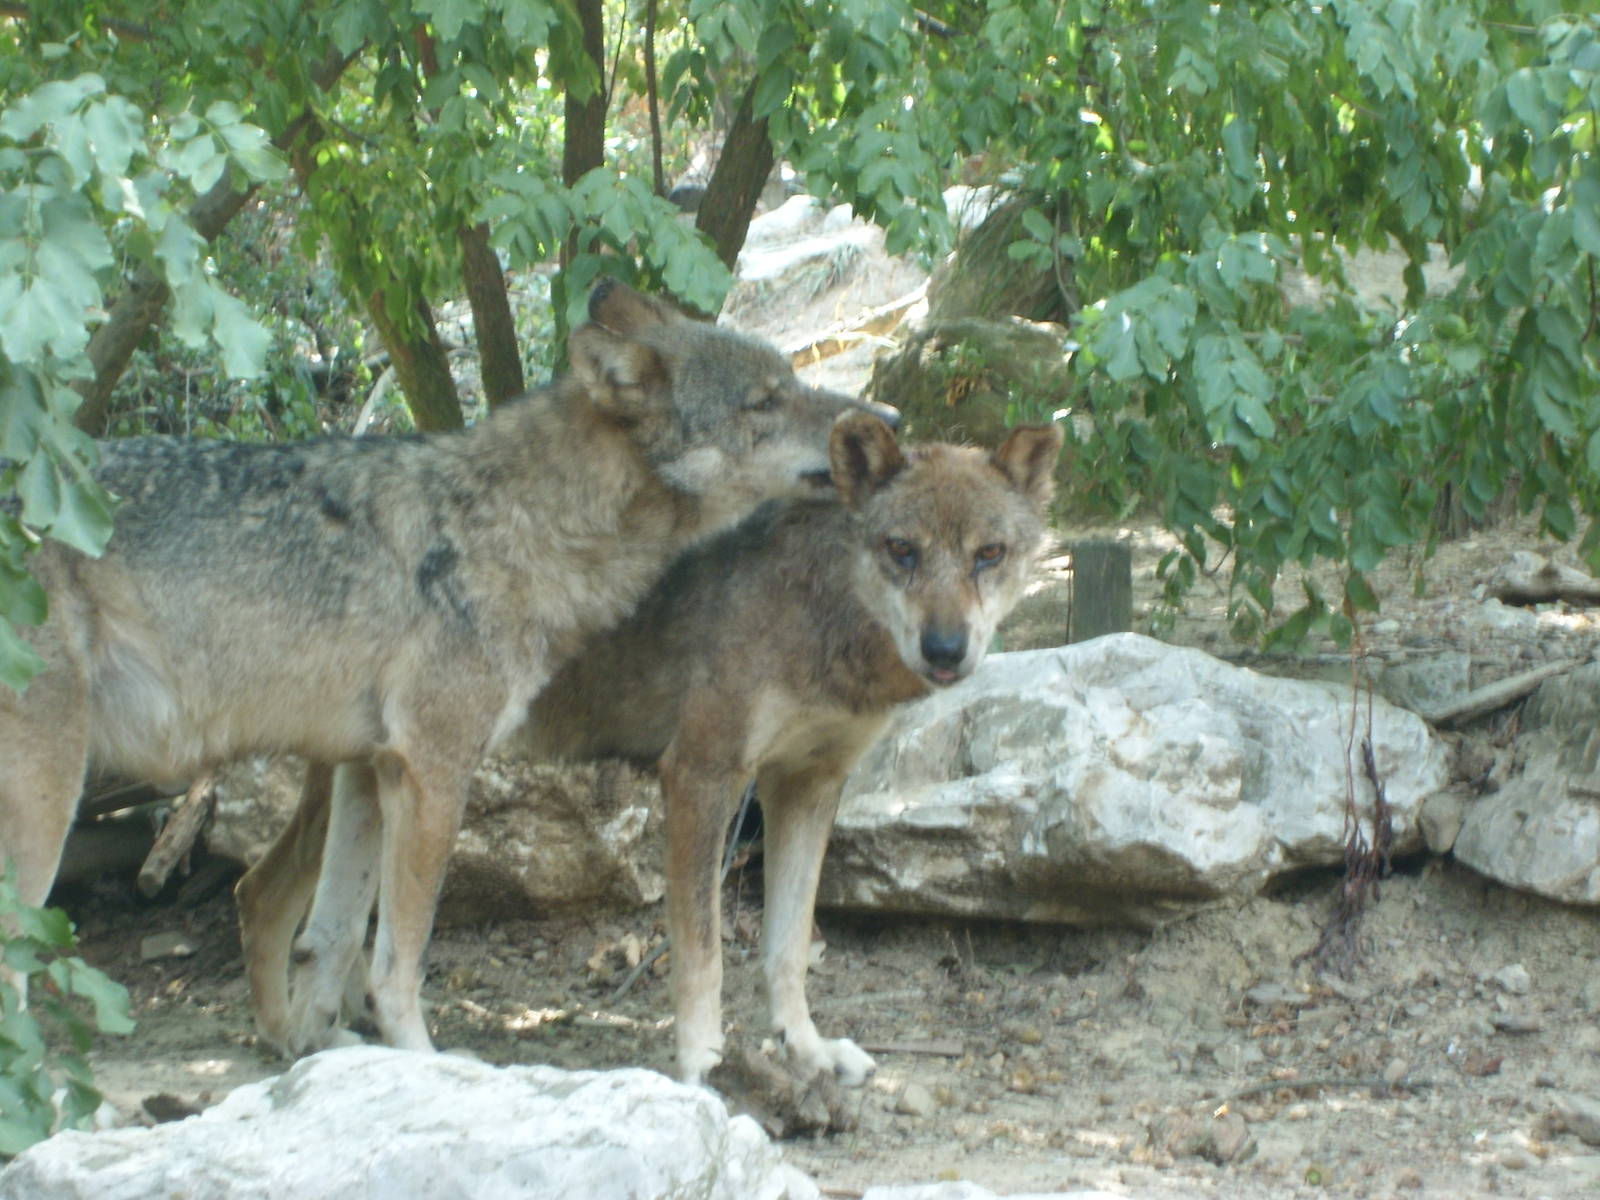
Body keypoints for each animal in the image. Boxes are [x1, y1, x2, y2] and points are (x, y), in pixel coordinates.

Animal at [0, 280, 885, 1055]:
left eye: (790, 384)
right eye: (765, 402)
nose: (884, 419)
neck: (514, 523)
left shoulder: (375, 766)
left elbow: (334, 943)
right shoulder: (434, 767)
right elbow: (397, 964)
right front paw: (427, 1068)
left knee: (263, 902)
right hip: (47, 810)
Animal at [237, 414, 1062, 1083]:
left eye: (989, 554)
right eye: (902, 551)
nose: (946, 649)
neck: (818, 614)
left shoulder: (807, 787)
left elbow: (787, 950)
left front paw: (806, 1051)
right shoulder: (701, 776)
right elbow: (703, 954)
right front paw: (704, 1063)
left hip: (374, 789)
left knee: (311, 923)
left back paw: (330, 1039)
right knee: (266, 896)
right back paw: (296, 1043)